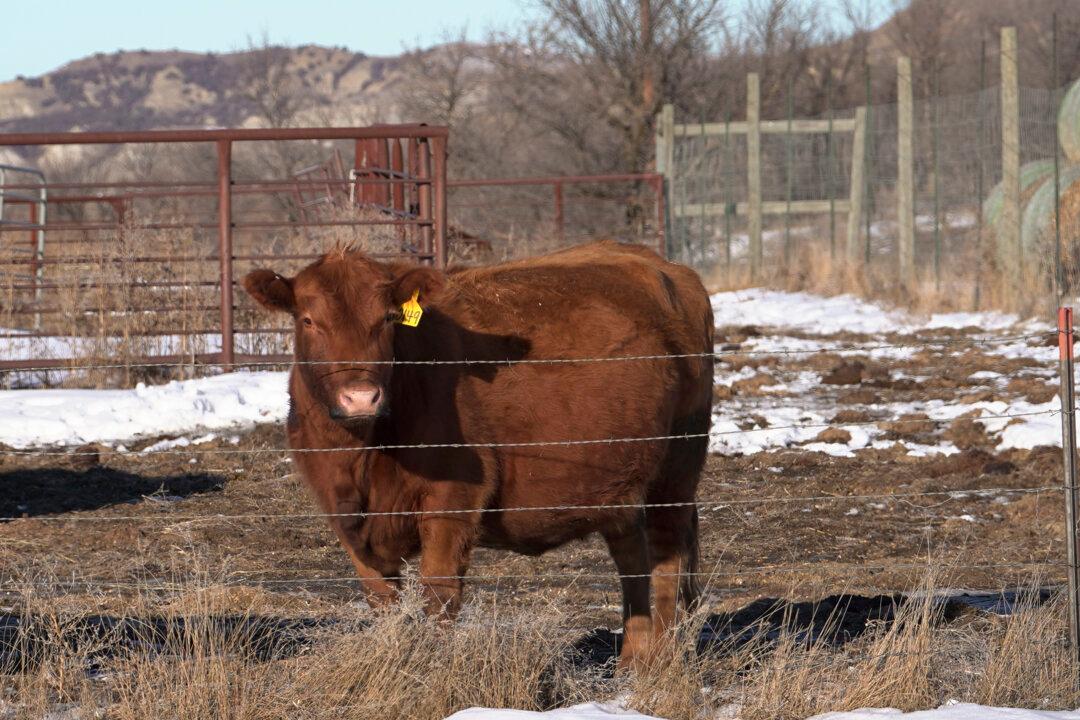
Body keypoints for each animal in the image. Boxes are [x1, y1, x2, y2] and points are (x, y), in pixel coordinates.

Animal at [242, 240, 714, 667]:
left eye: (387, 320)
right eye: (308, 320)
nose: (361, 397)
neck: (361, 455)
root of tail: (663, 265)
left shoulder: (453, 500)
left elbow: (439, 594)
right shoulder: (343, 516)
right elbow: (383, 601)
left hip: (678, 468)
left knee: (668, 558)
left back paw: (661, 663)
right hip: (621, 479)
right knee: (632, 559)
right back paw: (632, 662)